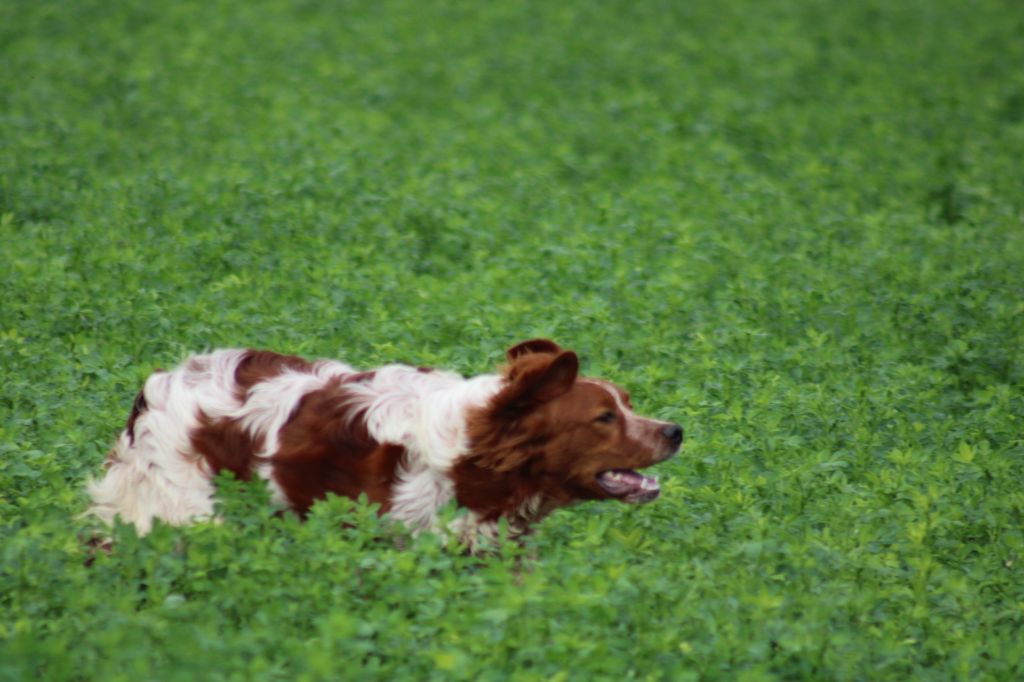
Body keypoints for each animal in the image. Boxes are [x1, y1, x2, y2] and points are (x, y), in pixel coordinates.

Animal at [86, 337, 679, 548]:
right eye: (604, 417)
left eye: (628, 403)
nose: (676, 431)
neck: (472, 456)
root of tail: (156, 386)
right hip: (180, 513)